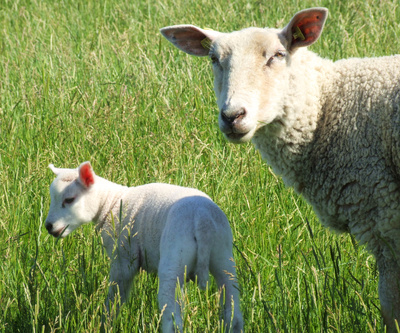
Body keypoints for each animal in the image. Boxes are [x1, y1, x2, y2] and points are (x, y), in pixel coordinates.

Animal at [44, 161, 244, 332]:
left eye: (69, 200)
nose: (48, 226)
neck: (110, 203)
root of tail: (202, 220)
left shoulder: (124, 257)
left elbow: (116, 296)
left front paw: (106, 324)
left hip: (174, 255)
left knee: (172, 318)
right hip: (223, 256)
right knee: (233, 311)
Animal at [161, 6, 400, 330]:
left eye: (277, 55)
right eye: (214, 59)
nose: (232, 116)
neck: (327, 109)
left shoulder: (385, 219)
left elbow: (390, 308)